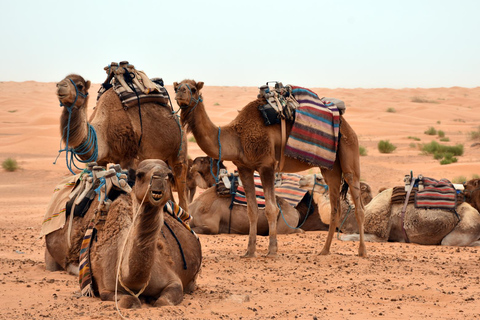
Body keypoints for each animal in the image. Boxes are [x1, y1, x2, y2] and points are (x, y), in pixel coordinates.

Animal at [56, 74, 189, 211]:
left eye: (80, 85)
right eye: (60, 81)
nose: (61, 86)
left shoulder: (129, 157)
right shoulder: (100, 160)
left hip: (180, 149)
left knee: (181, 183)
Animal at [89, 159, 202, 308]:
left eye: (170, 175)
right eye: (139, 175)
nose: (159, 177)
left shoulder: (173, 280)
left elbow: (163, 301)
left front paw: (153, 299)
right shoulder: (105, 288)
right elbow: (129, 300)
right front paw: (140, 300)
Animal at [174, 79, 366, 258]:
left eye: (193, 89)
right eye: (177, 87)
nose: (180, 93)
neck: (237, 137)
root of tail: (344, 122)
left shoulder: (266, 165)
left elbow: (271, 208)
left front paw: (272, 250)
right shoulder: (244, 168)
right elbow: (252, 210)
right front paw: (249, 252)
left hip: (349, 149)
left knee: (357, 200)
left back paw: (362, 251)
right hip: (330, 168)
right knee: (335, 208)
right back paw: (324, 250)